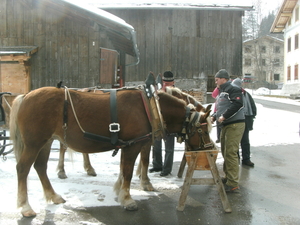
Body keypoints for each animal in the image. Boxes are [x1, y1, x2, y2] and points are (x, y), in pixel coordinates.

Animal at [10, 86, 212, 216]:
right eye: (203, 130)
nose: (209, 149)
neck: (151, 108)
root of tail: (25, 96)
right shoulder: (133, 146)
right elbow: (129, 172)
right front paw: (128, 199)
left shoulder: (129, 145)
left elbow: (125, 169)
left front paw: (120, 191)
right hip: (34, 142)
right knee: (23, 168)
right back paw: (25, 207)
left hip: (46, 141)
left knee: (40, 167)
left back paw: (54, 196)